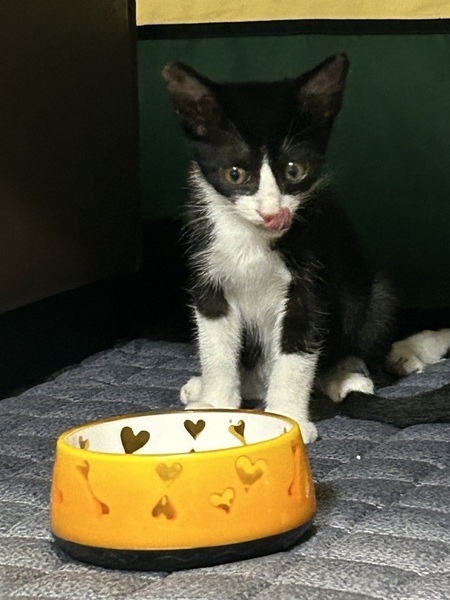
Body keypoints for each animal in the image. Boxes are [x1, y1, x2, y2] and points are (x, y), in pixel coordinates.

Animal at [163, 55, 450, 443]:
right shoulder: (208, 275)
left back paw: (348, 376)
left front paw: (289, 417)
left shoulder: (310, 281)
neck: (252, 239)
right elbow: (217, 345)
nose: (273, 213)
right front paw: (216, 402)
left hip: (375, 295)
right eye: (235, 174)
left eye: (294, 170)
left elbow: (296, 352)